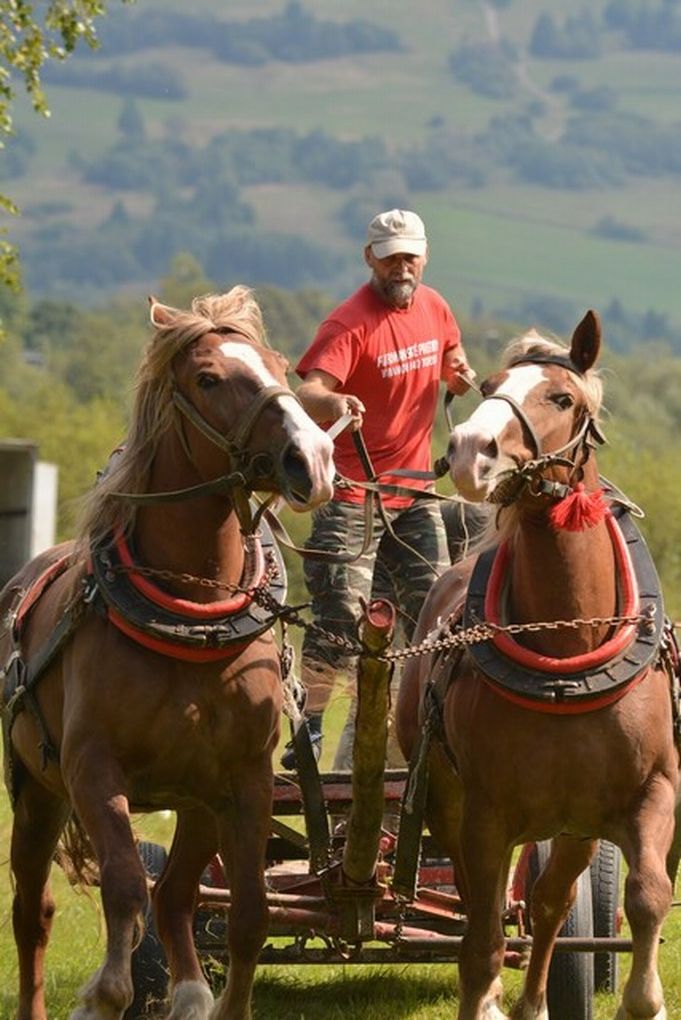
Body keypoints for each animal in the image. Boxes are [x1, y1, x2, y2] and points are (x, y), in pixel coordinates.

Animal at [0, 287, 335, 1020]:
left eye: (279, 366)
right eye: (208, 379)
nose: (314, 460)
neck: (190, 614)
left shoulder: (243, 780)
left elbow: (247, 913)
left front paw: (221, 1003)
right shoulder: (93, 769)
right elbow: (124, 885)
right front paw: (104, 994)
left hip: (196, 801)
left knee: (179, 896)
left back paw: (188, 992)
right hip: (35, 789)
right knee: (35, 912)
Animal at [396, 310, 679, 1020]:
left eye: (562, 398)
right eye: (488, 386)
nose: (471, 450)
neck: (566, 651)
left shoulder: (652, 791)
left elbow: (647, 896)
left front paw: (644, 999)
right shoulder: (484, 812)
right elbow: (482, 938)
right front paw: (486, 998)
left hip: (576, 822)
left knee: (551, 901)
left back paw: (533, 1001)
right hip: (451, 803)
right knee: (487, 906)